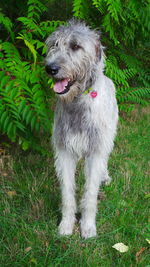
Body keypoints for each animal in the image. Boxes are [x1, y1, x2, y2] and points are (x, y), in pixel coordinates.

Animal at [44, 19, 118, 240]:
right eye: (53, 45)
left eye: (76, 46)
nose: (50, 68)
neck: (77, 101)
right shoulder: (64, 151)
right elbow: (67, 191)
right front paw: (66, 224)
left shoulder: (96, 150)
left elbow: (90, 192)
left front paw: (87, 226)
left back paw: (105, 176)